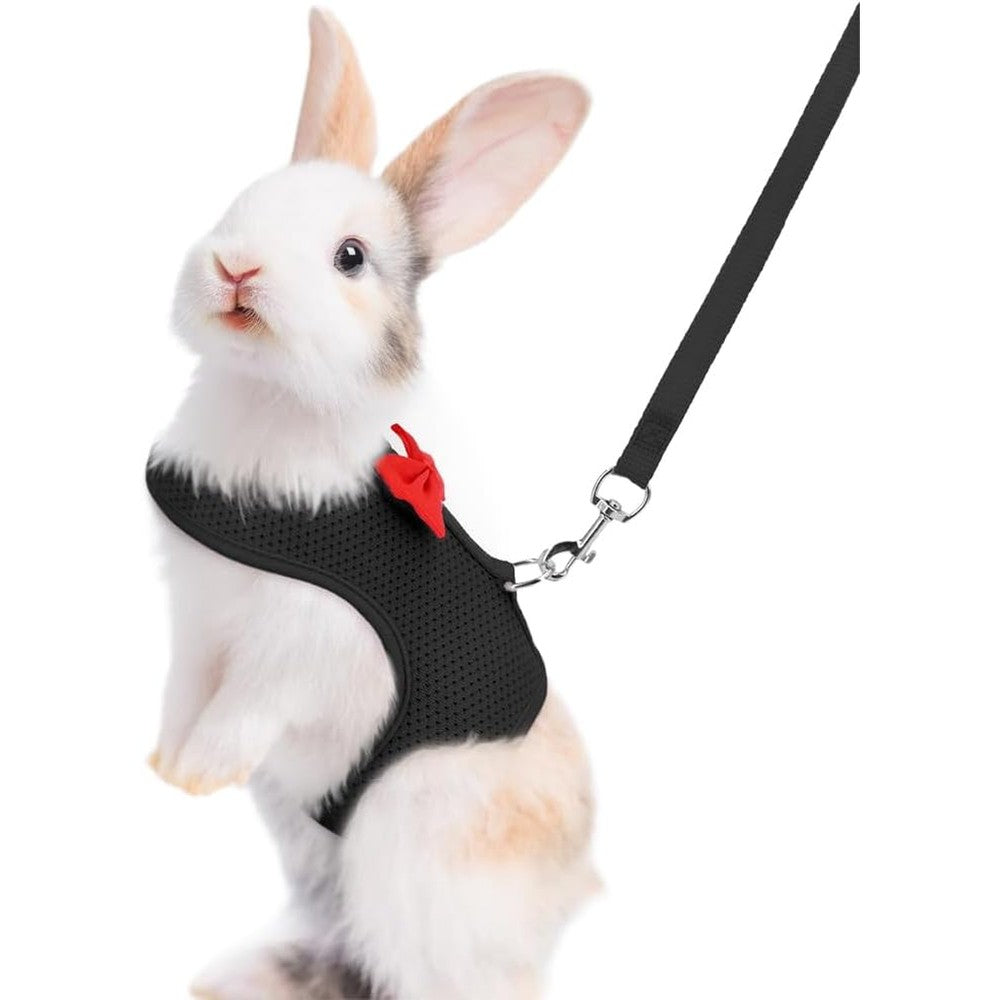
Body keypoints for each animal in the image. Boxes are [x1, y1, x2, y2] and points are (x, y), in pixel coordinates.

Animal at [149, 9, 596, 1000]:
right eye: (246, 201)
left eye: (350, 258)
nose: (237, 267)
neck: (271, 398)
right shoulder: (199, 624)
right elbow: (184, 692)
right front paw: (163, 765)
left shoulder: (296, 649)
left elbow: (241, 708)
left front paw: (196, 776)